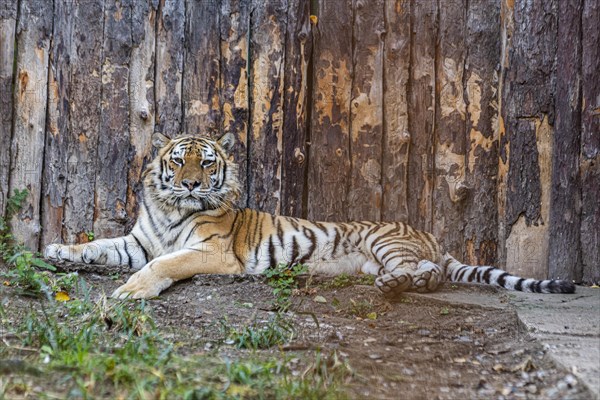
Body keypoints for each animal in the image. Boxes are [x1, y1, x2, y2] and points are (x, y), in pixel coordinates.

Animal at [44, 133, 576, 298]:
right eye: (178, 161)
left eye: (207, 162)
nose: (192, 183)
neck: (172, 208)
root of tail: (434, 240)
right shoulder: (139, 241)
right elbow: (99, 244)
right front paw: (58, 250)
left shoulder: (212, 252)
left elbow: (165, 263)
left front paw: (132, 290)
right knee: (425, 274)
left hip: (387, 241)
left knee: (428, 272)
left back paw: (397, 286)